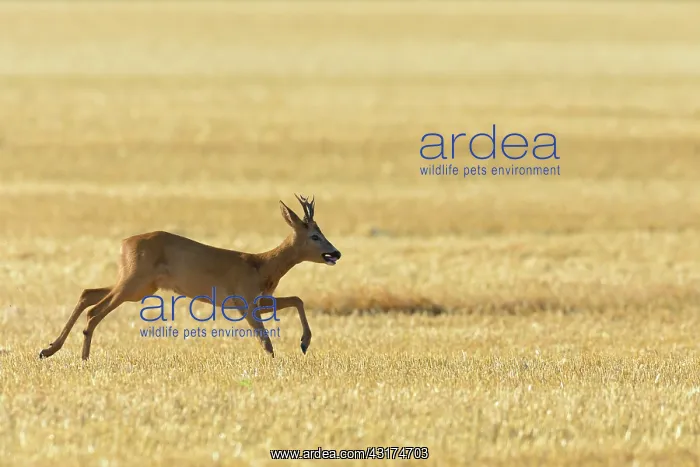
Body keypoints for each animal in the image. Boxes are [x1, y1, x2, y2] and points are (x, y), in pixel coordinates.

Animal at [38, 194, 341, 361]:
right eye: (315, 235)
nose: (335, 252)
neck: (262, 266)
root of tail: (124, 243)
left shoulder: (259, 300)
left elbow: (297, 299)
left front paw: (304, 343)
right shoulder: (243, 302)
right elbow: (265, 340)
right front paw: (284, 357)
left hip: (137, 286)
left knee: (87, 293)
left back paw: (48, 350)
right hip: (133, 284)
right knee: (94, 310)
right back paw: (83, 358)